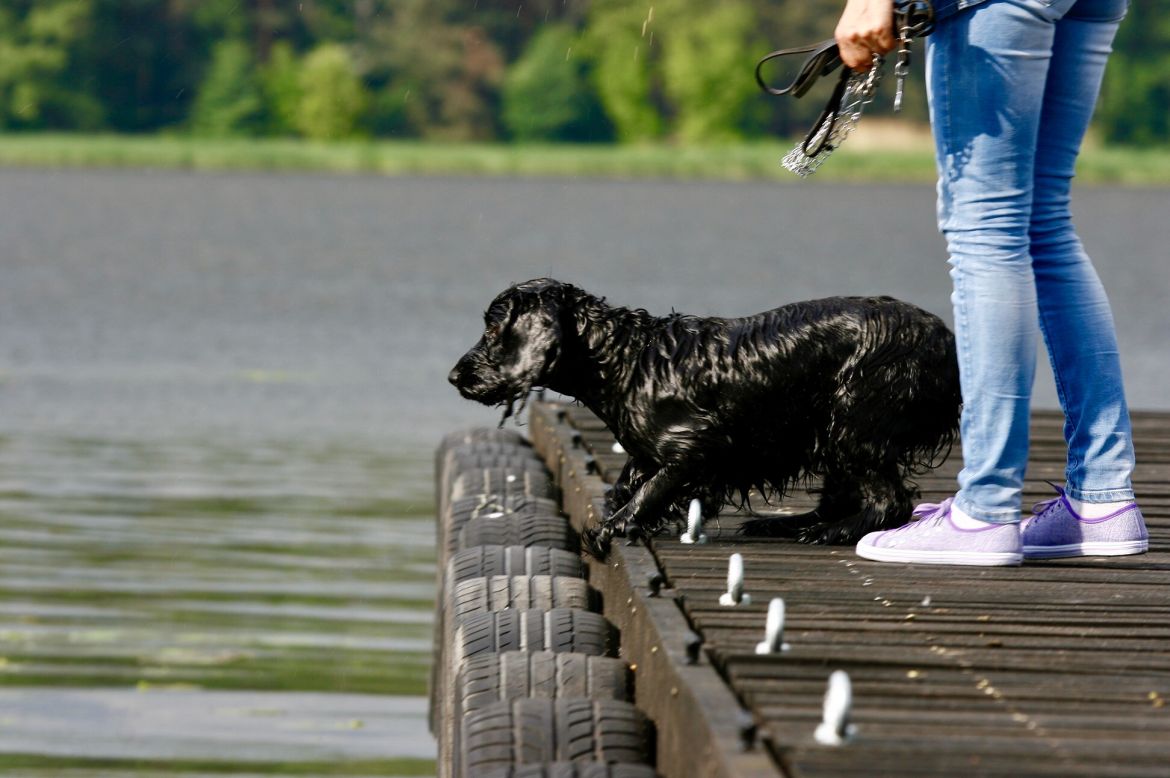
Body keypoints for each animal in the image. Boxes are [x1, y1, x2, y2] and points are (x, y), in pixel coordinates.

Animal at [446, 276, 959, 554]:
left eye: (492, 329)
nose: (454, 375)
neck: (626, 361)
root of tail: (945, 340)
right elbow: (629, 480)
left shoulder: (700, 446)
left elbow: (651, 490)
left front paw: (612, 529)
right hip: (830, 432)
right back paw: (787, 524)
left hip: (852, 421)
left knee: (890, 501)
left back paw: (829, 533)